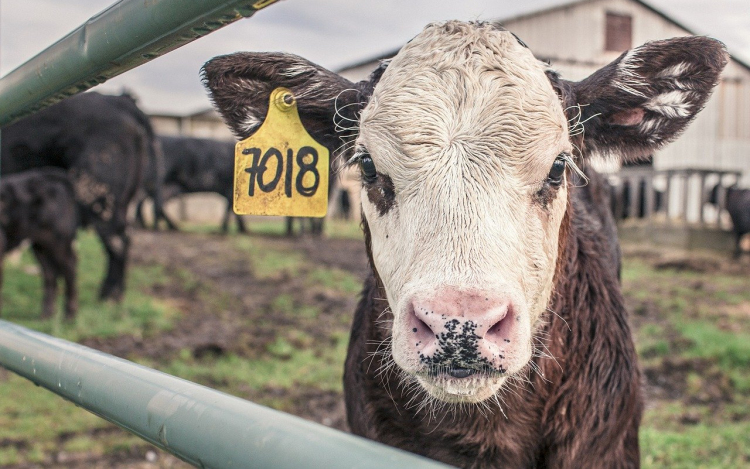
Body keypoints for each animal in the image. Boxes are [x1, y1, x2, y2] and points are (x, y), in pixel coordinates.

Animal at [0, 168, 78, 318]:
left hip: (59, 240)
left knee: (69, 267)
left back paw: (69, 316)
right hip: (40, 244)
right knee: (50, 273)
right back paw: (47, 314)